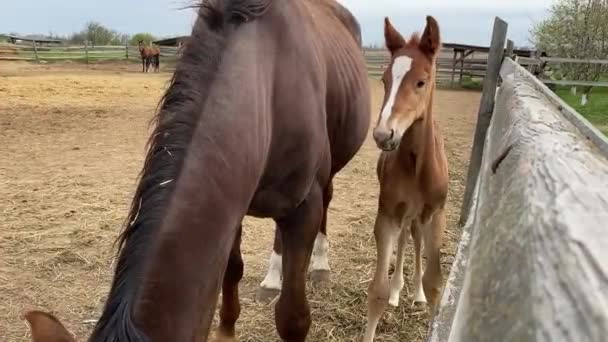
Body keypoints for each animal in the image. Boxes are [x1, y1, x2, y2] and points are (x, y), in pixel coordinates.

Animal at [364, 16, 448, 342]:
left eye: (421, 82)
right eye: (385, 81)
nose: (383, 134)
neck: (417, 167)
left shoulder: (435, 214)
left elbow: (436, 283)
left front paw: (424, 294)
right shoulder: (387, 214)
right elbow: (377, 291)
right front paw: (390, 292)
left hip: (420, 216)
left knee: (415, 239)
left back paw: (416, 293)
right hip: (404, 213)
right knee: (403, 239)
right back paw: (398, 291)